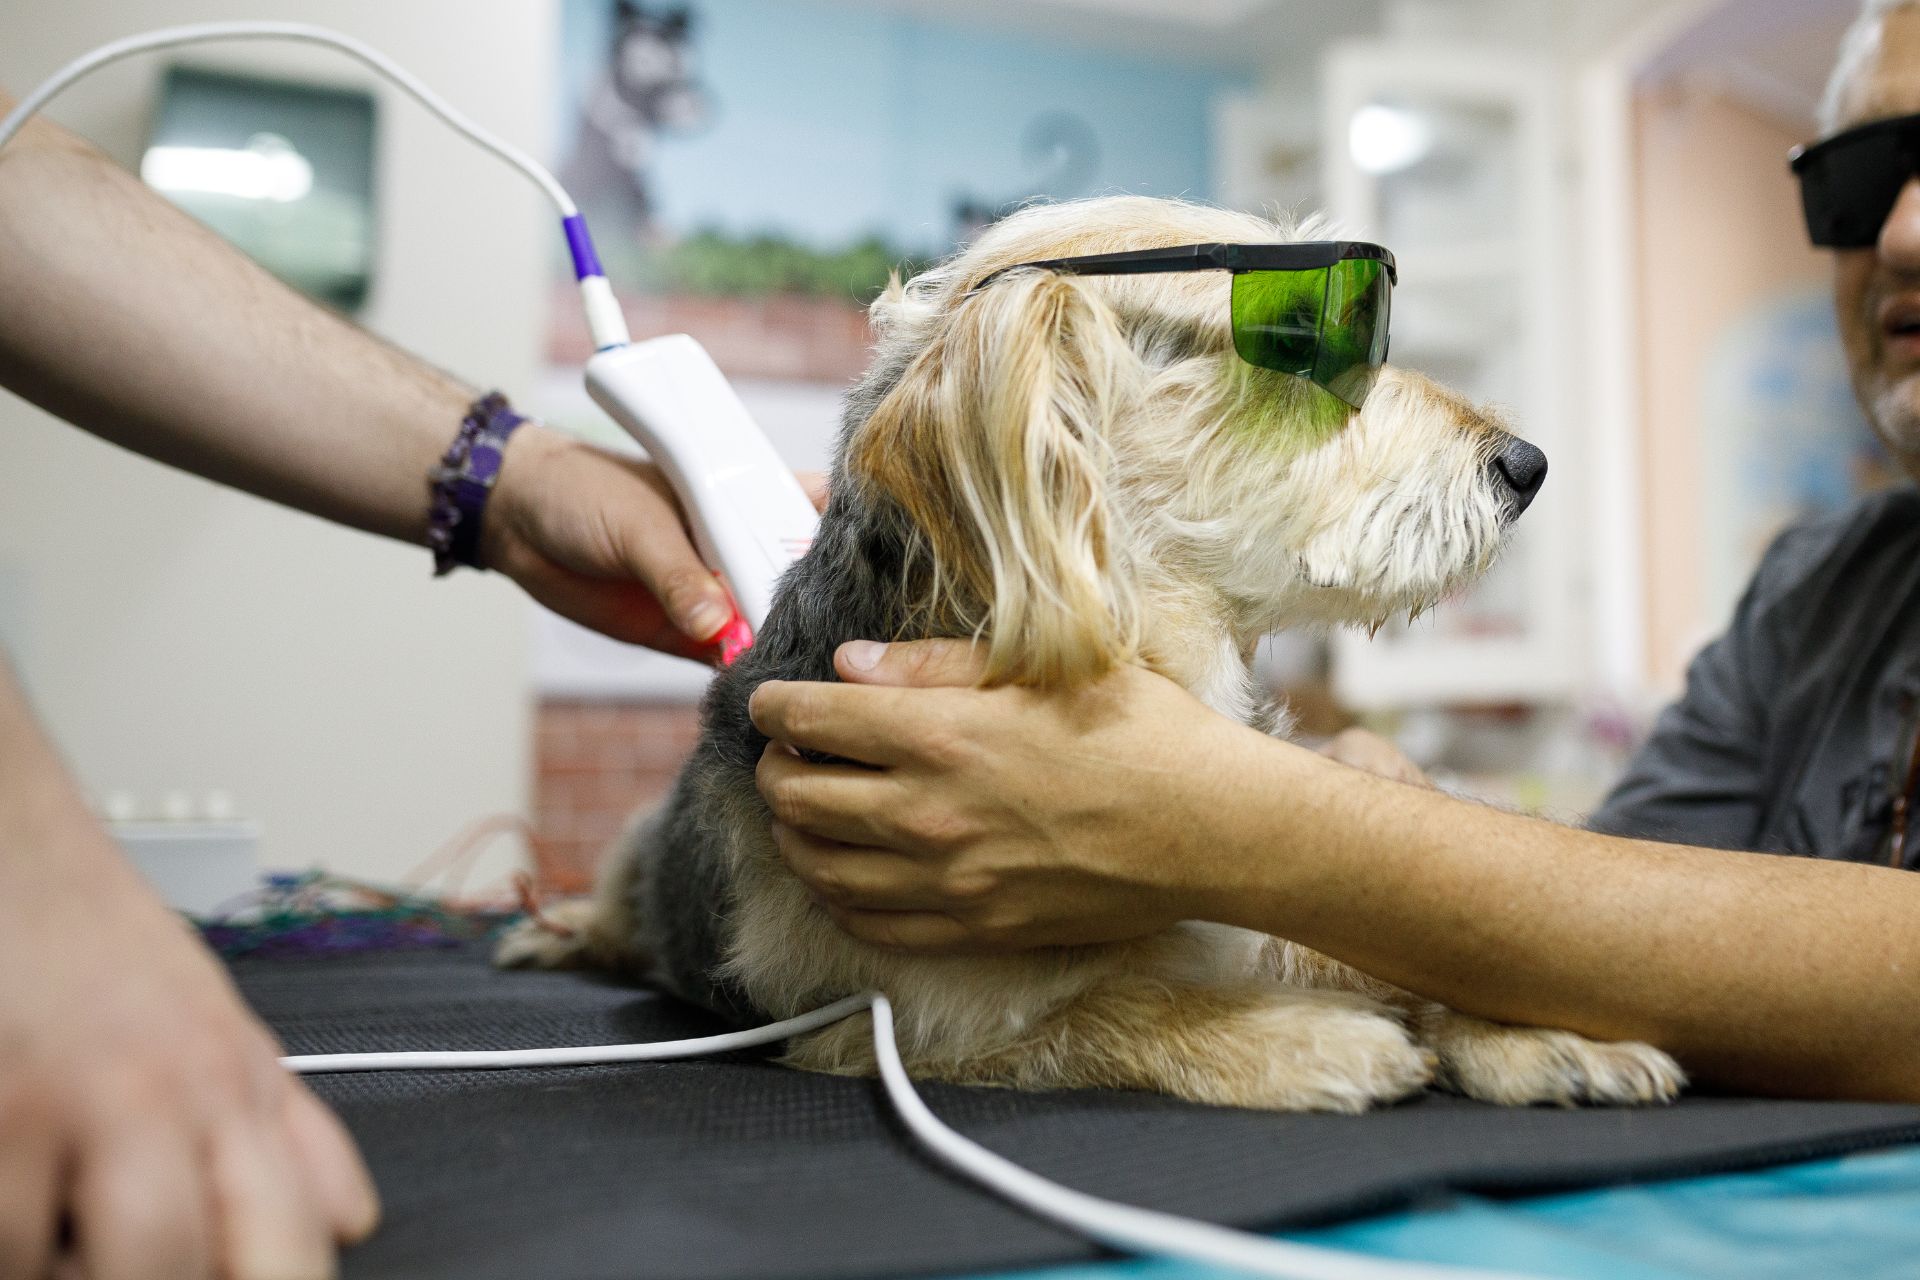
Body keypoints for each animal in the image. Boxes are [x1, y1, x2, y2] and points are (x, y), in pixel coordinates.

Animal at [503, 195, 1689, 1113]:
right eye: (1298, 338)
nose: (1526, 464)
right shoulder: (904, 1015)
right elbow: (1118, 1001)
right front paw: (1301, 1035)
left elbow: (1382, 939)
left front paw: (1527, 1032)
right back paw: (563, 929)